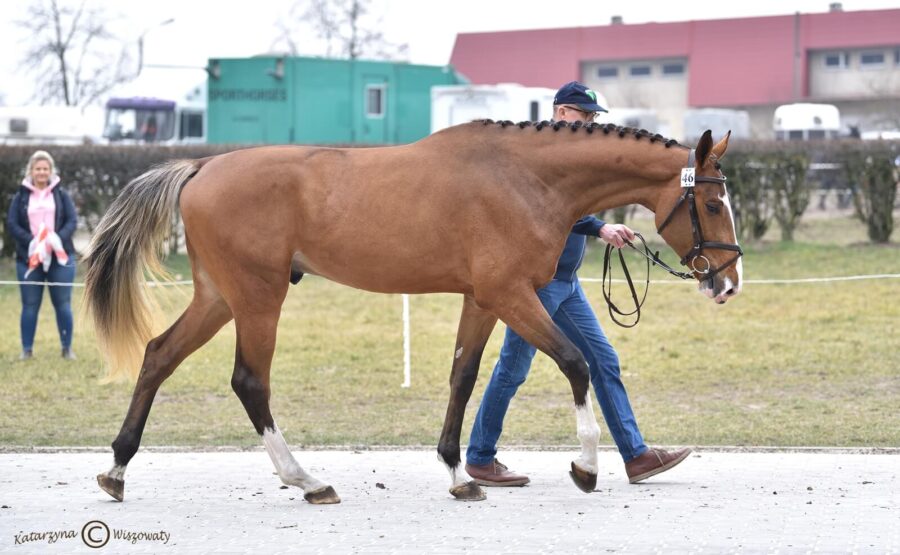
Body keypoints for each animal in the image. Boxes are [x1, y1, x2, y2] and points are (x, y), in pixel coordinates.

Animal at [84, 121, 740, 504]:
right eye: (711, 202)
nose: (728, 282)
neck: (524, 177)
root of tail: (201, 168)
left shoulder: (482, 300)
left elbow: (464, 377)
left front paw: (459, 475)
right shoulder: (510, 295)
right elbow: (576, 362)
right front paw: (585, 467)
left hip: (218, 297)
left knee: (158, 355)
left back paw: (116, 471)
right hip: (258, 297)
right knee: (249, 380)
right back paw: (308, 481)